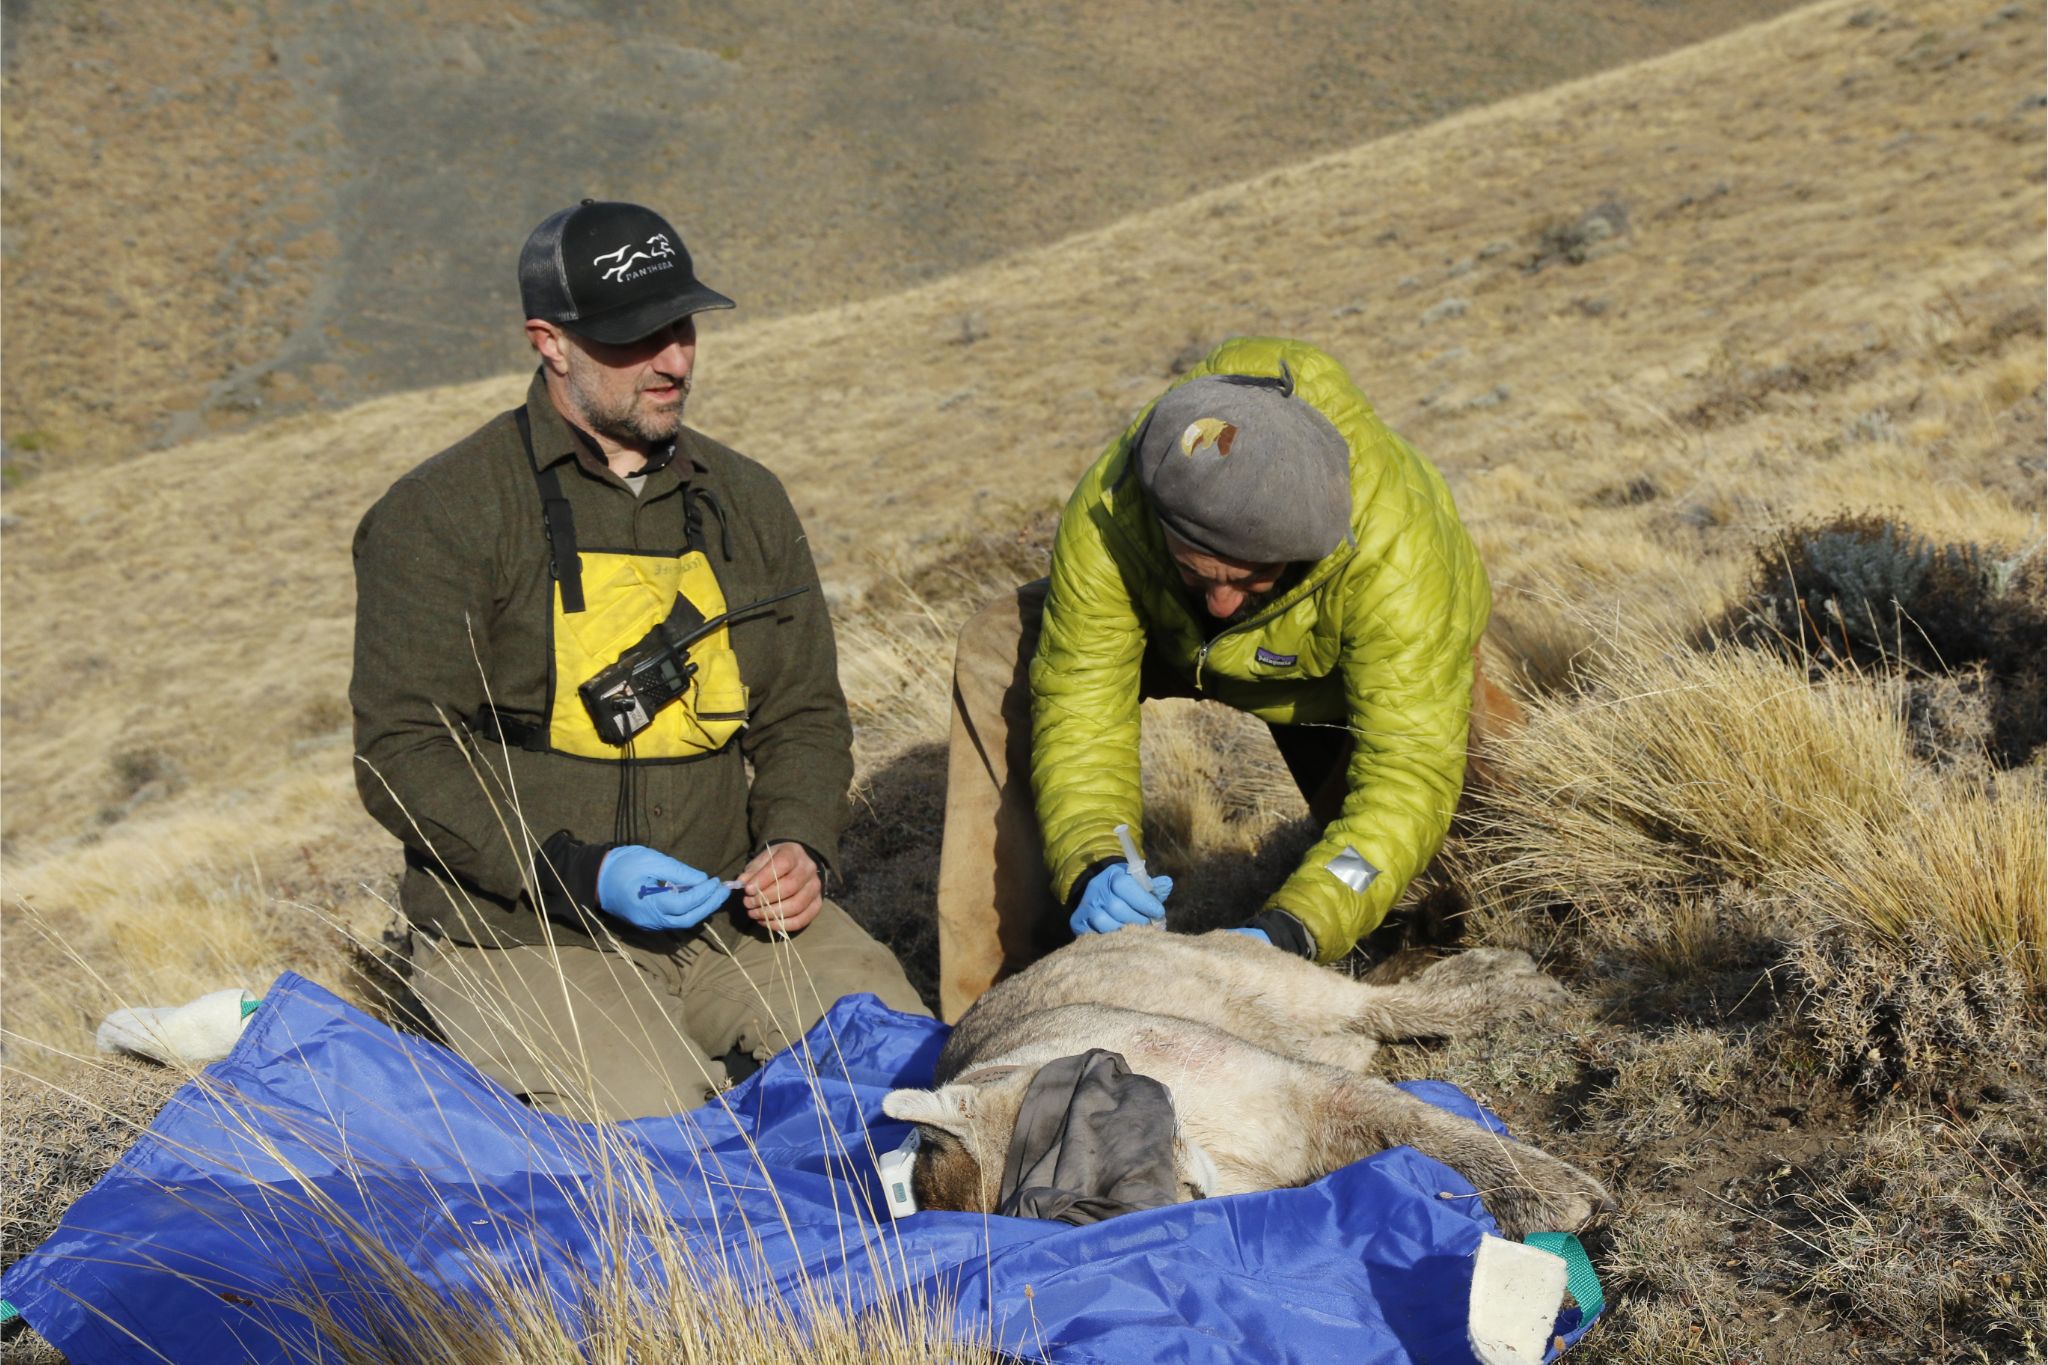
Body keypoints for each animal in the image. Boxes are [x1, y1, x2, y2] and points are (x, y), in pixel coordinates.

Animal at [883, 929, 1613, 1238]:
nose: (1177, 1195)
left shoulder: (1301, 1089)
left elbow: (1427, 1127)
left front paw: (1552, 1193)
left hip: (1274, 980)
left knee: (1385, 1003)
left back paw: (1511, 982)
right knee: (1367, 1025)